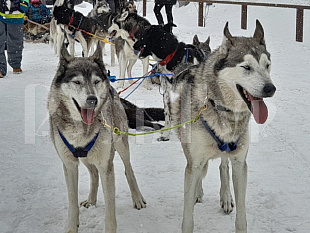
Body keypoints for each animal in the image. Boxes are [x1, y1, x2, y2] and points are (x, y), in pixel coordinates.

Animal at [47, 44, 147, 232]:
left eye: (96, 81)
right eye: (77, 82)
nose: (92, 99)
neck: (81, 128)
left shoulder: (106, 165)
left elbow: (110, 212)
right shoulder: (70, 165)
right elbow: (72, 205)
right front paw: (72, 227)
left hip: (120, 144)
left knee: (128, 169)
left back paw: (137, 198)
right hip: (87, 157)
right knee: (93, 174)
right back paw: (91, 200)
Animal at [167, 20, 276, 233]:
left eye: (267, 65)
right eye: (247, 67)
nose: (270, 88)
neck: (219, 107)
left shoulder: (240, 163)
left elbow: (241, 216)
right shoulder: (194, 162)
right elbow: (188, 215)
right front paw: (194, 196)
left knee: (223, 165)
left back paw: (225, 196)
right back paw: (198, 191)